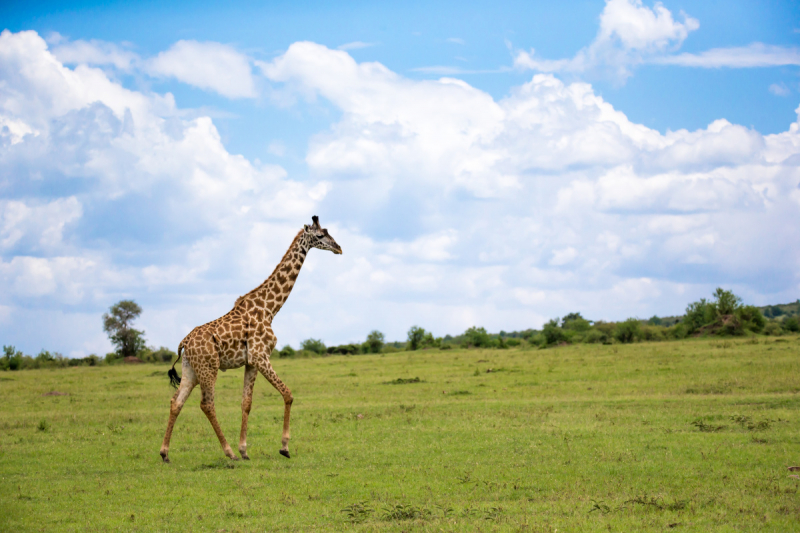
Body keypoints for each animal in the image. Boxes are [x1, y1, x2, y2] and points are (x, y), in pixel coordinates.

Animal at [159, 216, 340, 462]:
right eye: (321, 235)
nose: (339, 248)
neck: (270, 309)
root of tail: (183, 343)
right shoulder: (261, 356)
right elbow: (288, 394)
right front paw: (284, 447)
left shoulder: (251, 362)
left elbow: (246, 403)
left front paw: (245, 450)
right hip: (209, 367)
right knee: (207, 404)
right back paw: (228, 452)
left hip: (191, 370)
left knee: (176, 402)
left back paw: (165, 453)